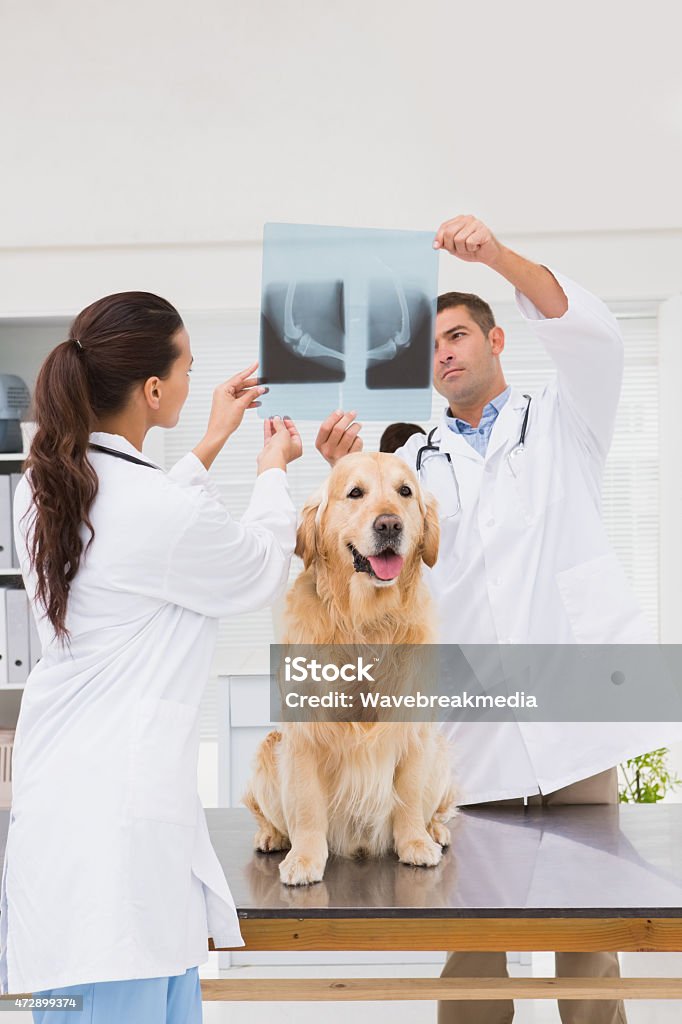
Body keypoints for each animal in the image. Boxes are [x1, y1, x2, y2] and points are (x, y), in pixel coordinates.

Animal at [241, 452, 454, 884]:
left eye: (405, 491)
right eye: (355, 493)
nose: (389, 524)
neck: (366, 620)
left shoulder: (413, 728)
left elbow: (408, 795)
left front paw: (414, 843)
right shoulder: (304, 732)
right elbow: (306, 804)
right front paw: (305, 858)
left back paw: (435, 831)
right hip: (268, 748)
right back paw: (272, 836)